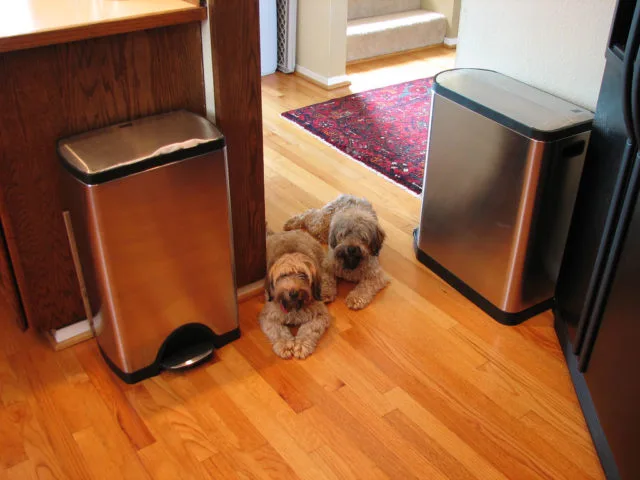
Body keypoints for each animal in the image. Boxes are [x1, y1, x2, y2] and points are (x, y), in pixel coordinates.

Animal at [258, 230, 330, 360]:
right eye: (283, 275)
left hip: (322, 261)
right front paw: (285, 345)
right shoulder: (269, 316)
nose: (293, 293)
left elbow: (308, 329)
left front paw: (301, 345)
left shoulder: (320, 314)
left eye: (302, 274)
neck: (293, 306)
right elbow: (278, 331)